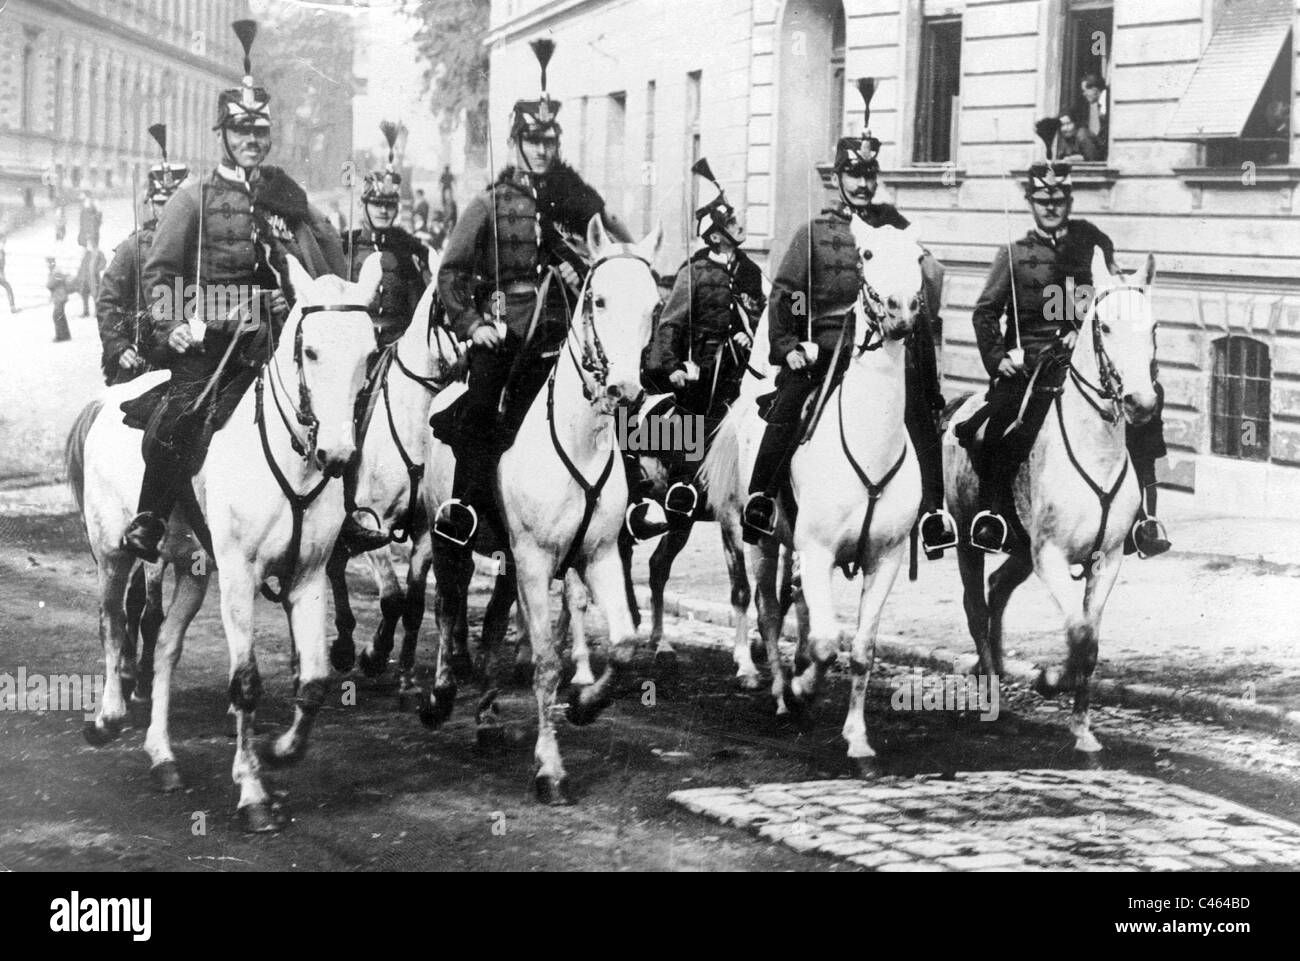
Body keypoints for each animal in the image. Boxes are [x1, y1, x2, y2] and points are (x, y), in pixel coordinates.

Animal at [71, 256, 382, 832]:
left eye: (369, 353)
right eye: (310, 351)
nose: (337, 454)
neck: (291, 461)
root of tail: (108, 401)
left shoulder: (308, 577)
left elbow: (315, 681)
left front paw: (281, 751)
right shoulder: (239, 577)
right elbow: (245, 684)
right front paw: (253, 792)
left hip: (193, 570)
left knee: (165, 646)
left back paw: (163, 757)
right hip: (112, 553)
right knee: (113, 624)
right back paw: (107, 717)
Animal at [702, 222, 925, 769]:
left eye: (918, 256)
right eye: (868, 254)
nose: (902, 310)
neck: (870, 443)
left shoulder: (884, 560)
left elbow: (861, 650)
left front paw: (858, 737)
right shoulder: (819, 550)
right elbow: (826, 643)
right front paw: (803, 690)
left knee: (794, 604)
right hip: (757, 538)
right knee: (767, 609)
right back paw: (781, 691)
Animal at [946, 245, 1159, 754]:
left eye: (1154, 327)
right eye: (1105, 327)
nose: (1142, 403)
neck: (1095, 448)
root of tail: (959, 406)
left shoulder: (1106, 559)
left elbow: (1092, 642)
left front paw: (1083, 729)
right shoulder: (1052, 558)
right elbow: (1078, 634)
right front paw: (1049, 681)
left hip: (1021, 550)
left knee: (997, 591)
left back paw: (999, 674)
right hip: (968, 543)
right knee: (976, 607)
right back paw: (990, 693)